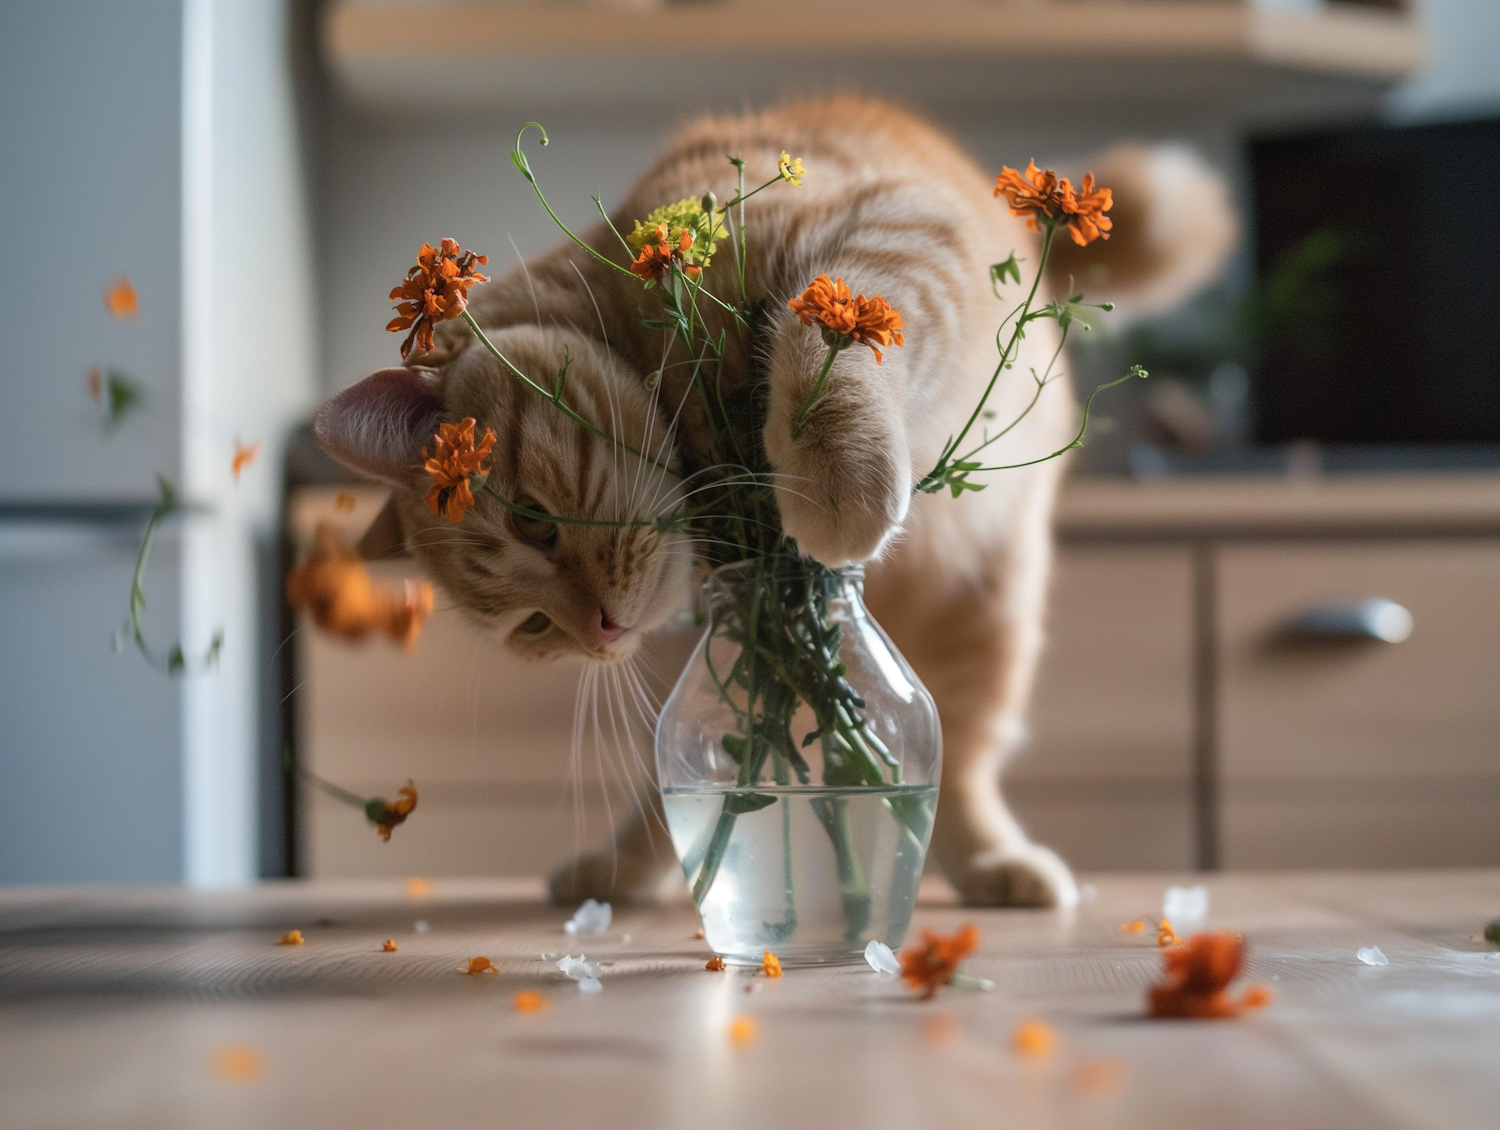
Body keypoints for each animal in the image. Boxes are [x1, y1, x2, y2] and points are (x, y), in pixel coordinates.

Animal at [316, 96, 1230, 906]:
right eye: (532, 630)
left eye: (534, 522)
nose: (600, 633)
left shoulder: (886, 230)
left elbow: (830, 339)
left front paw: (837, 474)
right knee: (686, 785)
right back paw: (630, 872)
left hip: (987, 605)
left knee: (965, 766)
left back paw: (992, 864)